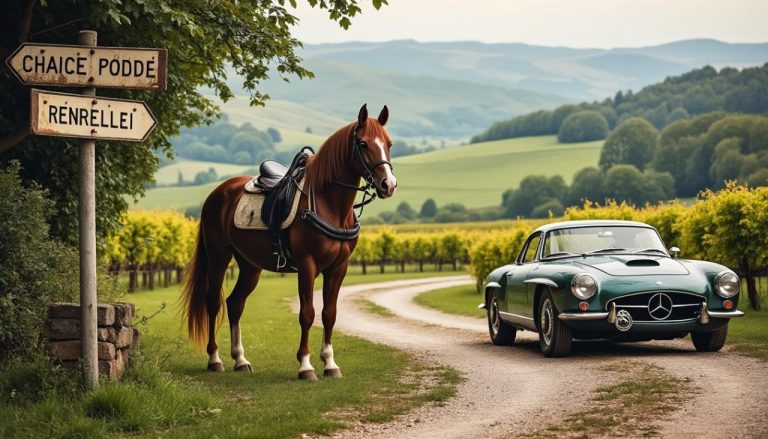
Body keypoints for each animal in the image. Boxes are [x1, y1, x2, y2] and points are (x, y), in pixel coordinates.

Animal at [181, 104, 397, 380]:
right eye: (363, 143)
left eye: (388, 144)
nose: (388, 184)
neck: (329, 203)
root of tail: (217, 193)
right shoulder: (307, 266)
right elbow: (307, 314)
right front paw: (305, 365)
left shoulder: (338, 268)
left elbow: (329, 314)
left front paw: (330, 363)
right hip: (219, 256)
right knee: (213, 302)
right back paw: (215, 359)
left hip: (250, 265)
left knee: (235, 303)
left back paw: (240, 359)